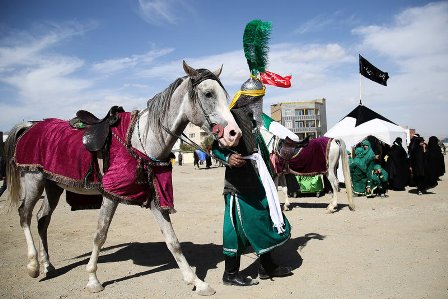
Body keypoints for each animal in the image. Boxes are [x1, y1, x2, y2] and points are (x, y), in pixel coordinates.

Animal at [3, 61, 242, 298]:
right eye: (209, 93)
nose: (234, 133)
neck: (141, 140)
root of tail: (30, 125)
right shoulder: (111, 194)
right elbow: (100, 234)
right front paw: (92, 279)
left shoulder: (155, 198)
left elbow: (172, 241)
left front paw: (196, 281)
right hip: (33, 181)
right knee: (24, 215)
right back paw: (33, 265)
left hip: (53, 186)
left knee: (42, 220)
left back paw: (47, 265)